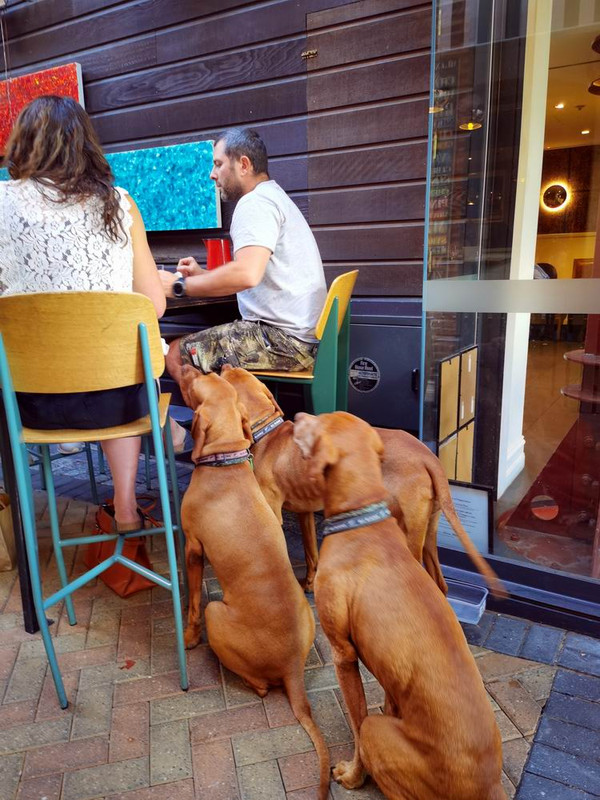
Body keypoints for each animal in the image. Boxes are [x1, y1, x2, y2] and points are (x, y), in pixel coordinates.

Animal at [179, 367, 329, 799]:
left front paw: (188, 637)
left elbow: (191, 602)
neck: (226, 463)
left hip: (217, 612)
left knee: (262, 686)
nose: (196, 365)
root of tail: (293, 669)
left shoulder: (192, 548)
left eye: (196, 386)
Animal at [220, 365, 504, 597]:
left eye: (226, 377)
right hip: (429, 530)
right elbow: (311, 553)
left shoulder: (273, 513)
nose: (224, 361)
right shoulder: (305, 513)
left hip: (407, 527)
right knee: (440, 585)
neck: (268, 434)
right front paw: (309, 584)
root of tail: (427, 455)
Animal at [293, 411, 507, 800]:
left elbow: (357, 722)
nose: (297, 415)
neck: (361, 519)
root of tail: (490, 784)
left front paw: (352, 776)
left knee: (371, 735)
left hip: (379, 733)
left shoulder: (343, 654)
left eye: (317, 423)